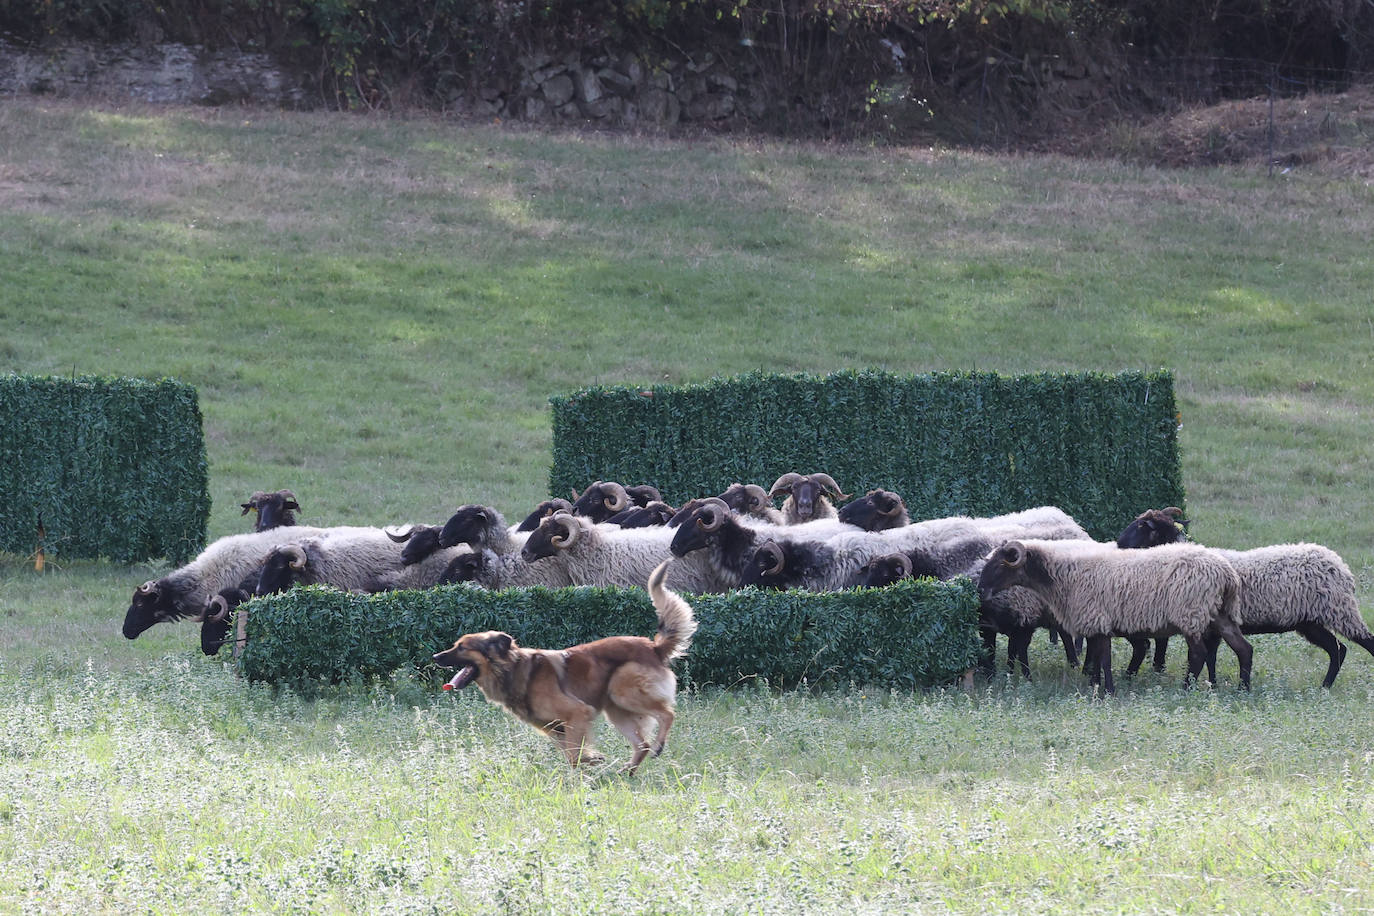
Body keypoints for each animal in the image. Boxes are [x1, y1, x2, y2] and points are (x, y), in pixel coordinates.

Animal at [431, 560, 697, 774]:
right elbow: (574, 754)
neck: (514, 670)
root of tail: (653, 647)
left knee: (666, 714)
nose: (435, 656)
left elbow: (573, 755)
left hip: (622, 690)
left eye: (462, 647)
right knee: (642, 745)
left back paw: (658, 746)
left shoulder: (577, 713)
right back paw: (627, 771)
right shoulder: (555, 729)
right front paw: (593, 760)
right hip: (616, 709)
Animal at [978, 538, 1258, 694]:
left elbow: (1104, 661)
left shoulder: (1098, 620)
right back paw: (1243, 689)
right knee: (1244, 649)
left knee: (1199, 654)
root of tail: (1226, 573)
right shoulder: (1096, 625)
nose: (980, 590)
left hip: (1192, 613)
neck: (1063, 576)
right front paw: (1095, 687)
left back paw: (1186, 689)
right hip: (1219, 614)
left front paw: (1108, 691)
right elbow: (1097, 659)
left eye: (1000, 564)